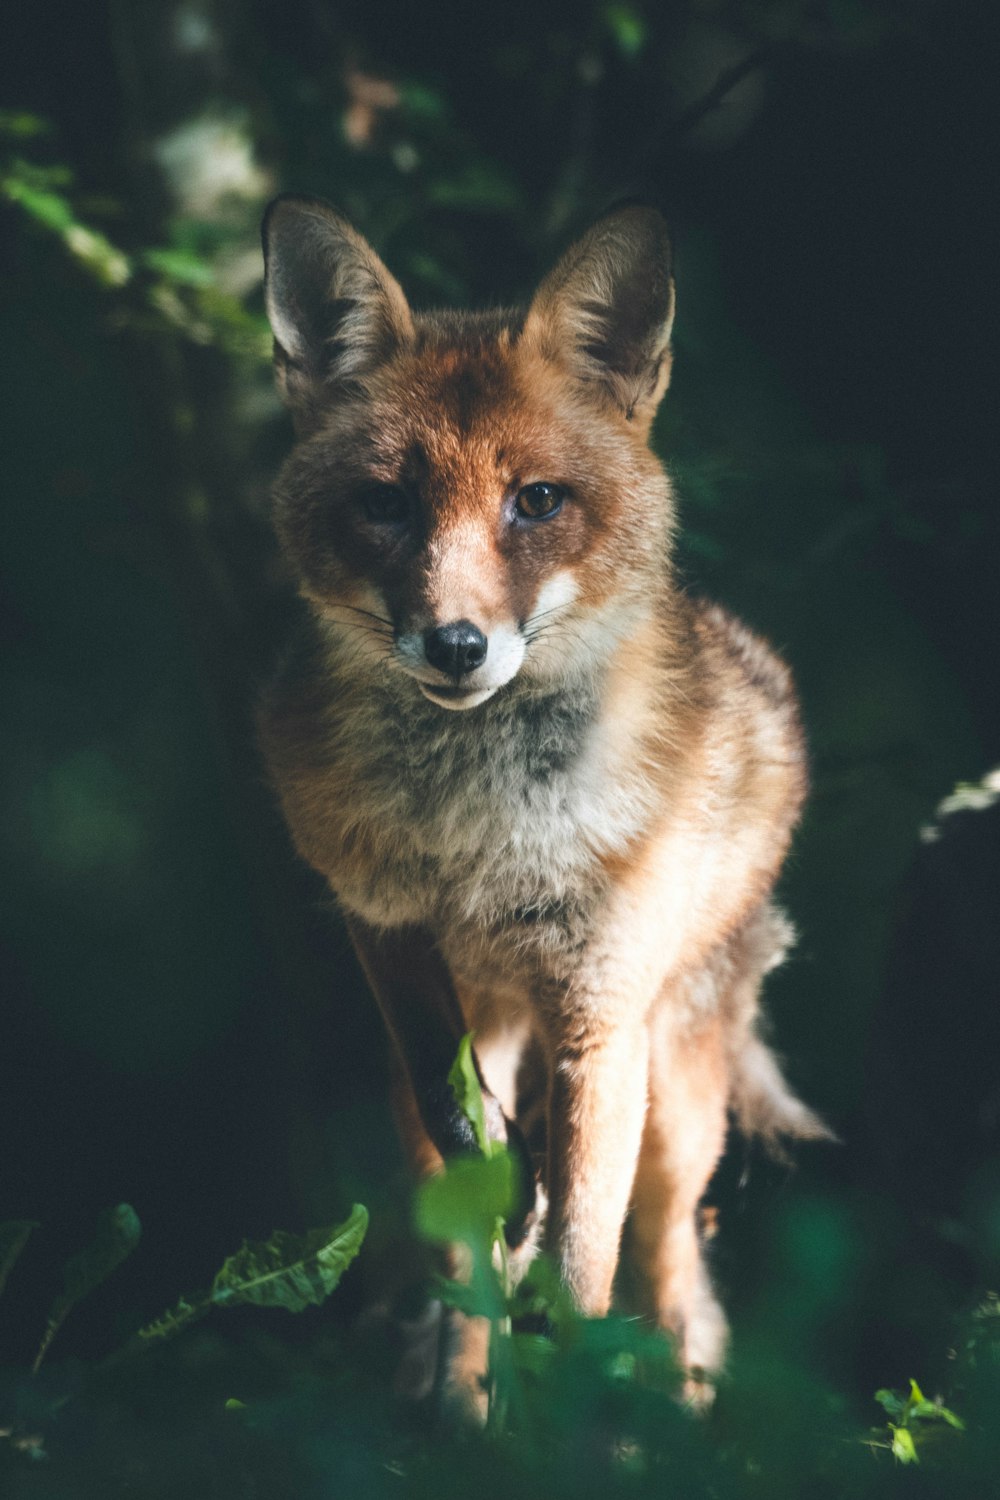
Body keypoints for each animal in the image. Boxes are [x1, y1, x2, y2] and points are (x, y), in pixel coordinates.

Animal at [256, 193, 827, 1398]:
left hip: (677, 1105)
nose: (456, 645)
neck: (483, 842)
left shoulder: (600, 1014)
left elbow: (582, 1269)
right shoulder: (388, 939)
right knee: (457, 1241)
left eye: (538, 503)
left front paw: (561, 1385)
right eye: (385, 506)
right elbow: (469, 1144)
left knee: (673, 1278)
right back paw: (460, 1390)